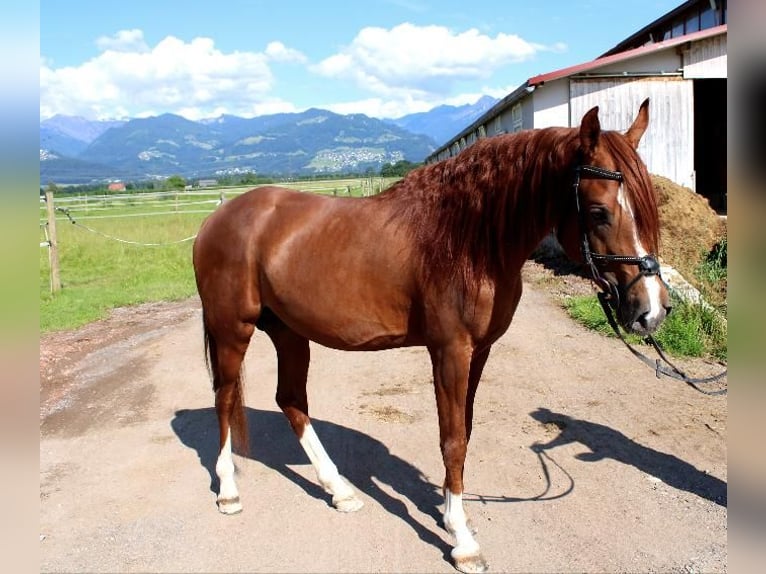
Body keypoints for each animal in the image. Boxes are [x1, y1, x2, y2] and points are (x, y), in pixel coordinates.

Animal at [194, 101, 672, 572]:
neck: (470, 241)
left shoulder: (480, 351)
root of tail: (216, 219)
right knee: (225, 398)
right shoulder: (450, 351)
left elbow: (466, 429)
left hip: (289, 332)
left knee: (291, 401)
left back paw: (340, 490)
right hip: (232, 330)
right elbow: (452, 438)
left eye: (650, 207)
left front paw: (447, 511)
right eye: (598, 211)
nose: (651, 311)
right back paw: (229, 491)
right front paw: (462, 539)